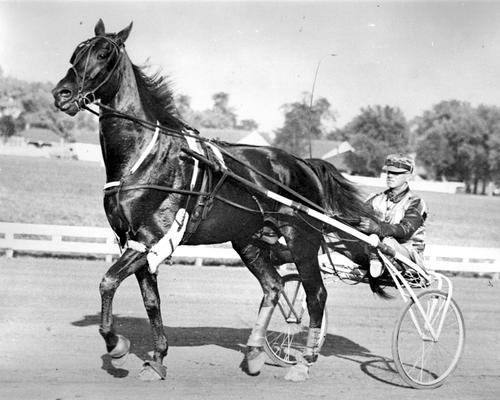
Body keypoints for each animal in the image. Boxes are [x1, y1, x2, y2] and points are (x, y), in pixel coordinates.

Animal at [52, 19, 376, 382]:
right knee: (273, 285)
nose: (62, 93)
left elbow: (107, 282)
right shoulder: (133, 241)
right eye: (75, 53)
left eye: (103, 53)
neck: (145, 155)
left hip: (302, 238)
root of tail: (303, 163)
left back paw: (304, 362)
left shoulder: (150, 239)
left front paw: (116, 344)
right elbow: (151, 301)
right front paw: (157, 359)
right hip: (248, 239)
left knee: (315, 294)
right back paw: (254, 353)